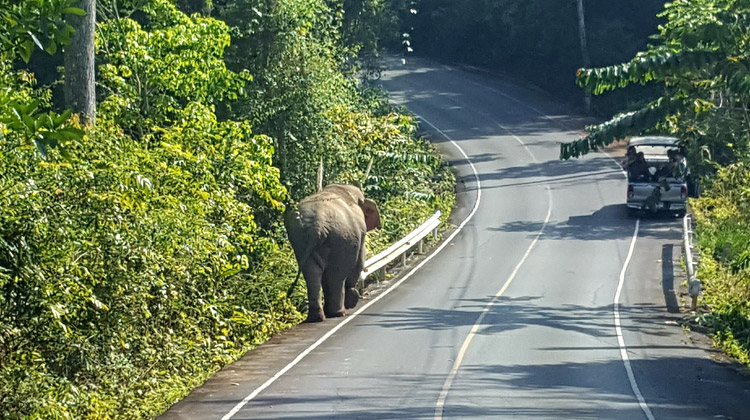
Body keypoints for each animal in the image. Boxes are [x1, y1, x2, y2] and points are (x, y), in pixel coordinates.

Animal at [286, 183, 384, 322]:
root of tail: (317, 226)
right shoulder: (361, 232)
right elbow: (360, 259)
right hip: (342, 239)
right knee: (336, 275)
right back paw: (338, 313)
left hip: (301, 240)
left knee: (312, 273)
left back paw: (317, 317)